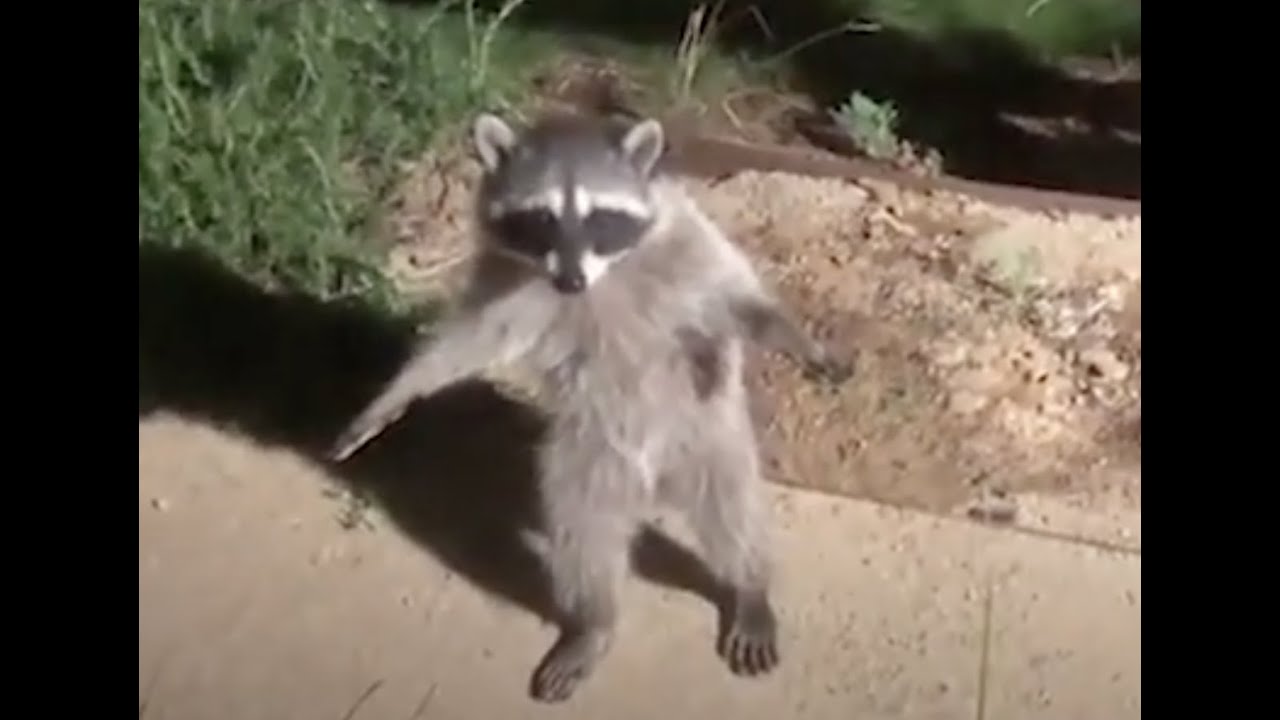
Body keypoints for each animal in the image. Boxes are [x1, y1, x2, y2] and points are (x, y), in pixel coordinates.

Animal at [329, 111, 853, 703]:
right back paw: (594, 622)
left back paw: (749, 584)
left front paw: (800, 341)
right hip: (587, 458)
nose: (570, 280)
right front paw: (398, 392)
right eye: (541, 218)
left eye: (601, 217)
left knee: (732, 509)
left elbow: (735, 298)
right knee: (584, 537)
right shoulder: (507, 279)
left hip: (706, 435)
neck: (602, 274)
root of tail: (652, 481)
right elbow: (469, 341)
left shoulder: (686, 239)